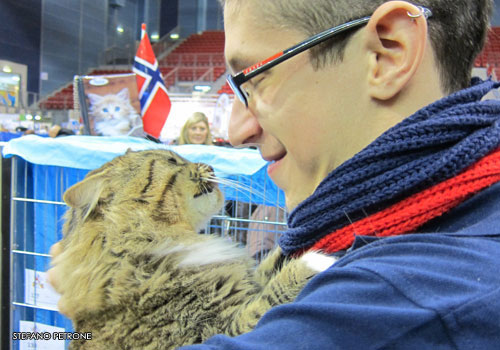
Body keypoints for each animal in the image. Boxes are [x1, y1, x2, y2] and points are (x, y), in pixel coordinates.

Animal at [47, 149, 336, 348]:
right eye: (172, 162)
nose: (211, 167)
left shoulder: (249, 281)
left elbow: (271, 262)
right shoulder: (219, 330)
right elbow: (271, 295)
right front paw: (316, 261)